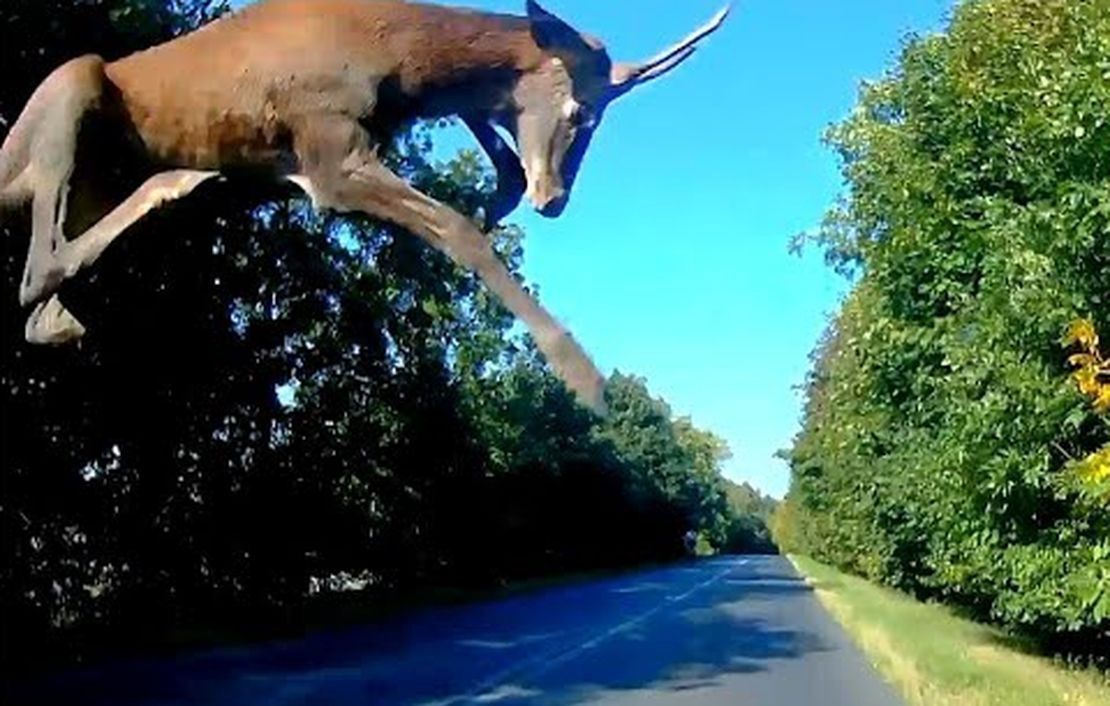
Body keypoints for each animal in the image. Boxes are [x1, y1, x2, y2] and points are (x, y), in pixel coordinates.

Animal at [0, 0, 732, 412]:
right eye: (581, 112)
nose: (555, 199)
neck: (393, 52)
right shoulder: (332, 154)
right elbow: (459, 228)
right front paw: (587, 381)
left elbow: (491, 175)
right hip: (71, 88)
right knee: (37, 267)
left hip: (96, 176)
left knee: (49, 285)